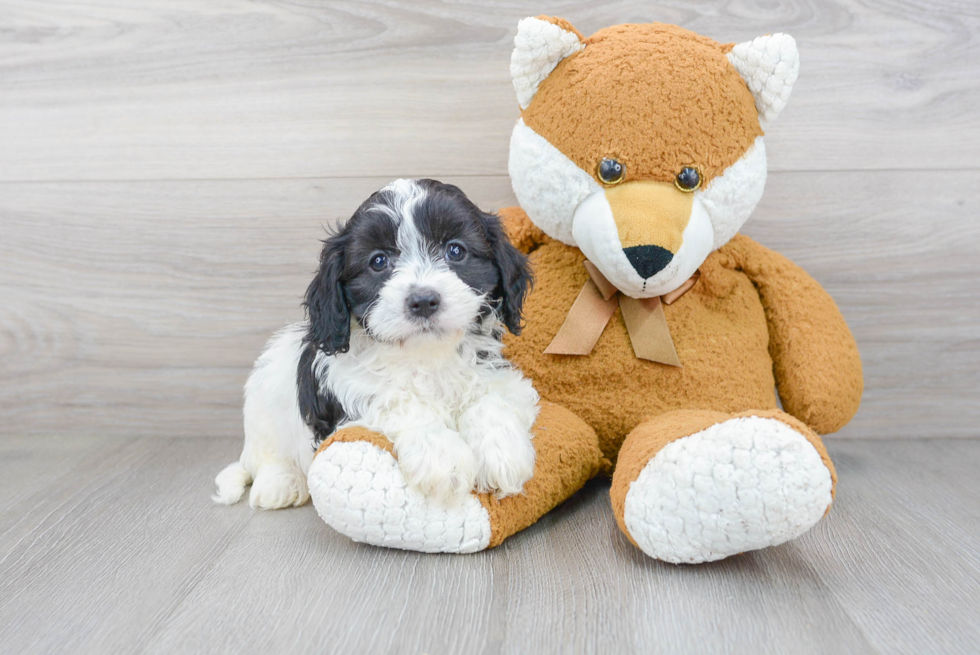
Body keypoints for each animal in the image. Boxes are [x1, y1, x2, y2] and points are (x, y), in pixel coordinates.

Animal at [214, 179, 540, 512]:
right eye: (379, 261)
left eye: (456, 251)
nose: (423, 300)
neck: (424, 354)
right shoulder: (349, 393)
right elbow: (397, 401)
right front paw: (442, 455)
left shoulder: (502, 375)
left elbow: (488, 397)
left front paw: (502, 451)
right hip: (265, 396)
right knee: (266, 454)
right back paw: (281, 484)